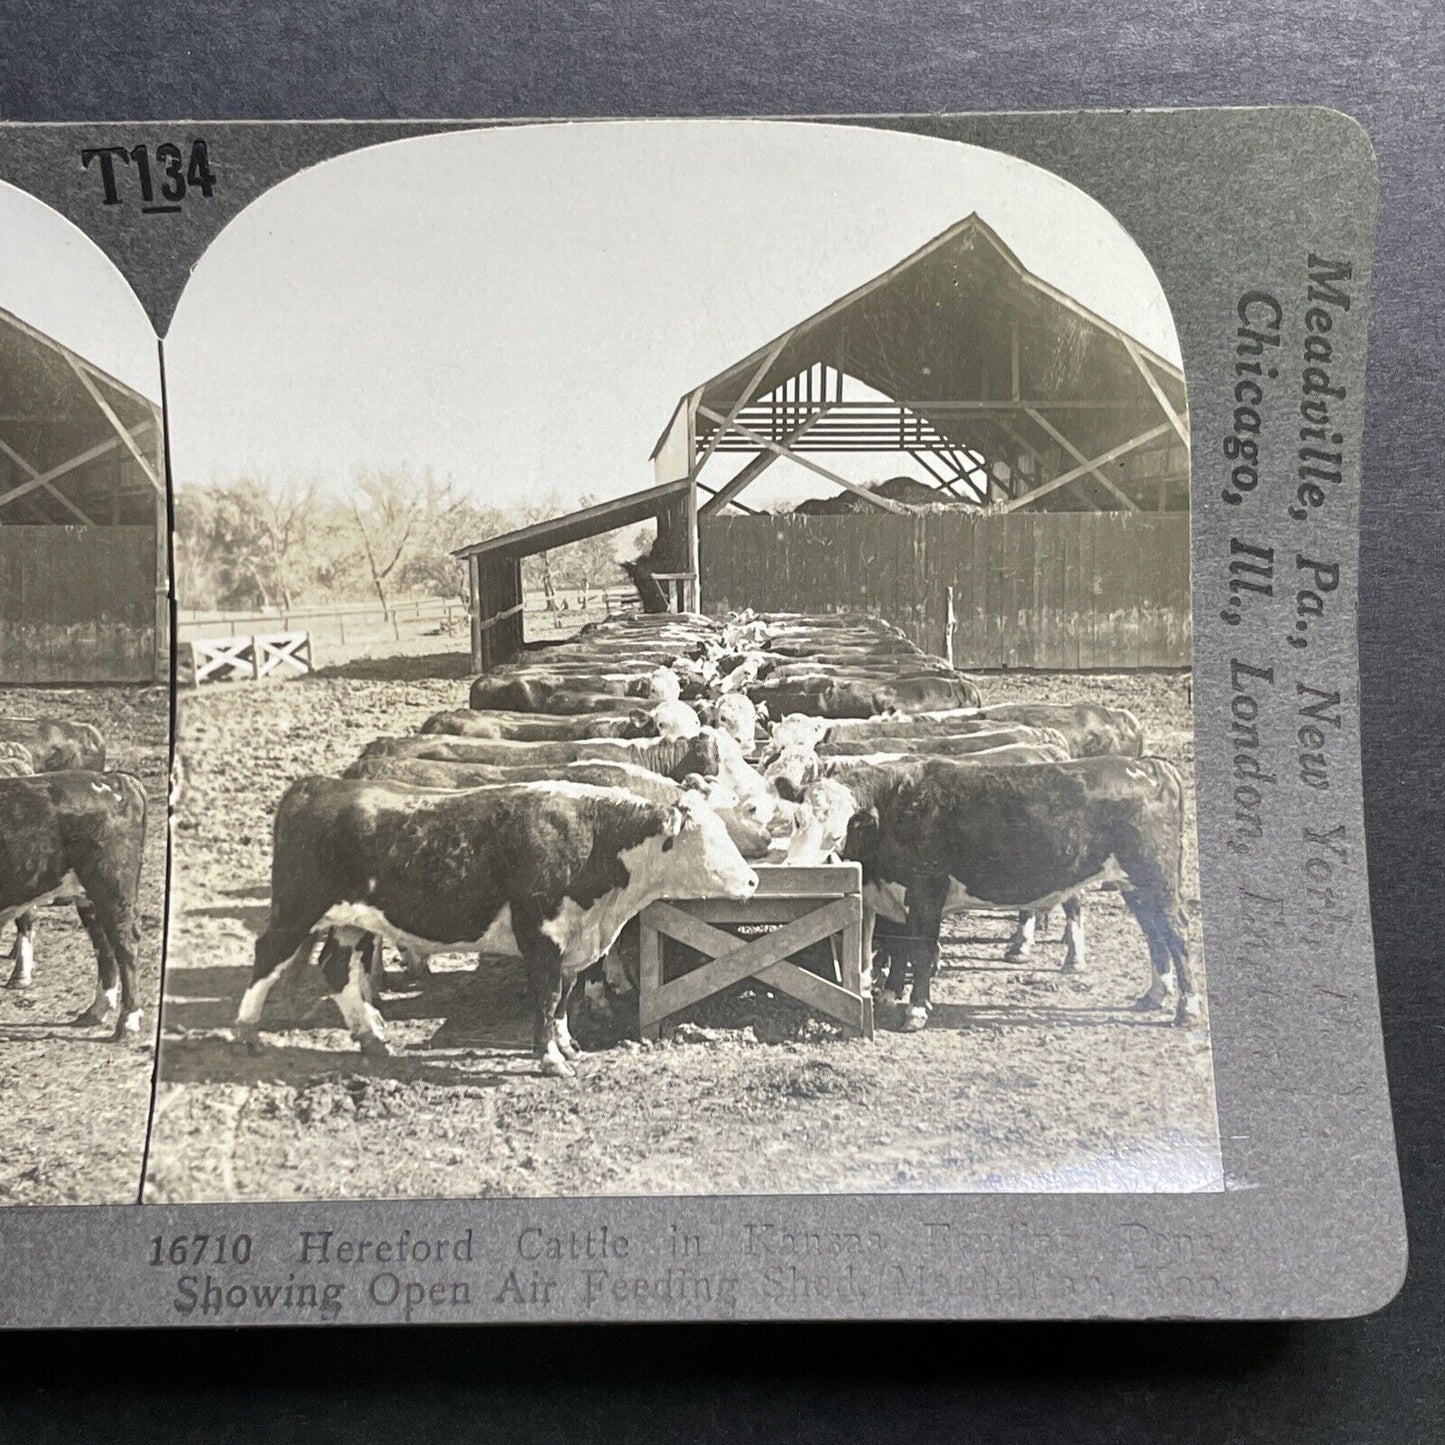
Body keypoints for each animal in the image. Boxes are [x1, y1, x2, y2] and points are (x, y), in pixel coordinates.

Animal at [0, 768, 147, 1040]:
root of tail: (112, 778)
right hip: (90, 900)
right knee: (104, 946)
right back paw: (97, 1010)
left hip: (112, 890)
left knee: (125, 946)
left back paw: (127, 1022)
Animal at [239, 780, 757, 1075]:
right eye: (708, 838)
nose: (753, 879)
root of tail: (314, 786)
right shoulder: (541, 938)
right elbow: (548, 997)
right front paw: (549, 1059)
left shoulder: (573, 944)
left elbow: (564, 998)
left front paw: (568, 1046)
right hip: (297, 908)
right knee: (267, 955)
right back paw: (248, 1034)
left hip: (350, 921)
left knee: (335, 968)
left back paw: (372, 1039)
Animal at [786, 757, 1190, 1028]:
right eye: (796, 820)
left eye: (836, 834)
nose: (797, 870)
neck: (896, 807)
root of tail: (1150, 766)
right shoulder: (897, 895)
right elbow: (899, 947)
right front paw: (889, 994)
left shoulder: (926, 892)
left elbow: (920, 950)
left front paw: (916, 1009)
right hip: (1136, 888)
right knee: (1155, 935)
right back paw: (1153, 995)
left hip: (1158, 881)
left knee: (1177, 934)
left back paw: (1187, 1009)